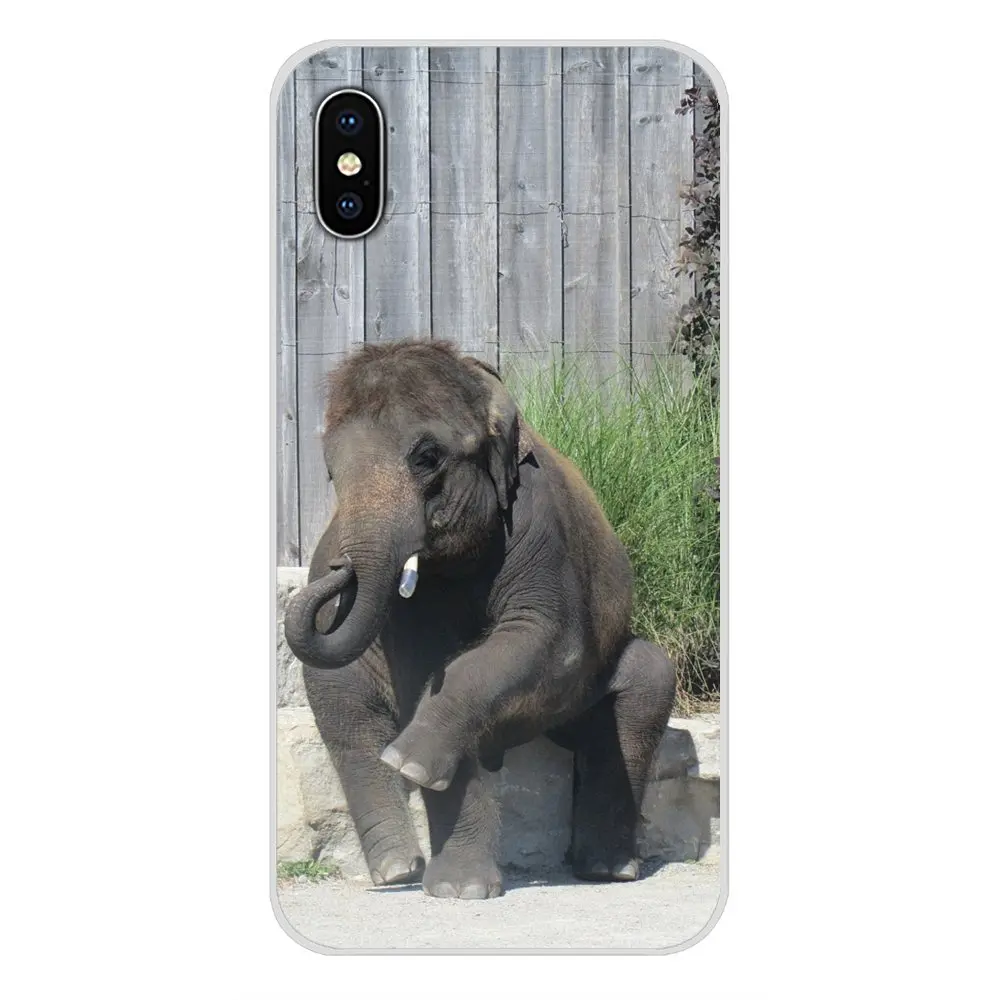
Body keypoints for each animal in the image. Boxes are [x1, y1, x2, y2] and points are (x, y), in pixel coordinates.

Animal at [283, 339, 676, 899]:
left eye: (427, 458)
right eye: (332, 474)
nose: (336, 568)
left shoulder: (538, 519)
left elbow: (545, 637)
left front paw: (411, 762)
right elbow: (422, 672)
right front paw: (460, 889)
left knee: (645, 684)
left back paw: (607, 871)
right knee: (345, 715)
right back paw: (397, 870)